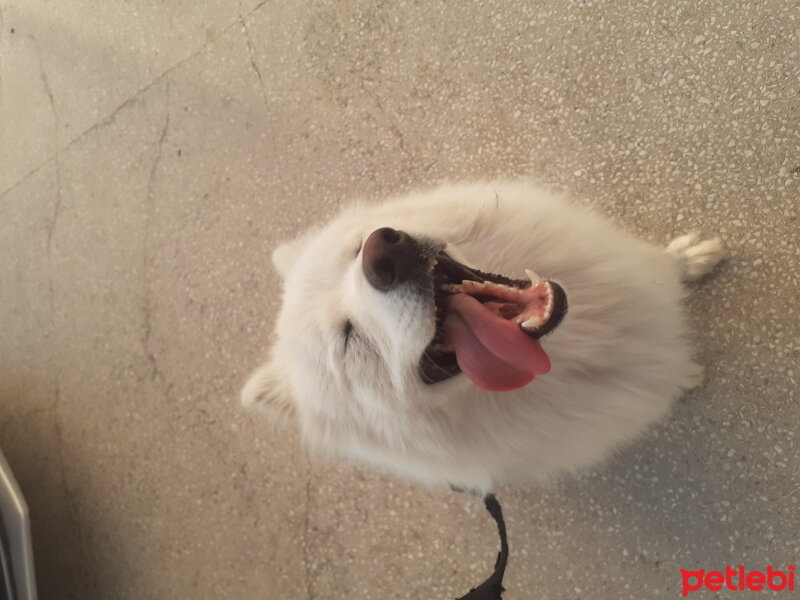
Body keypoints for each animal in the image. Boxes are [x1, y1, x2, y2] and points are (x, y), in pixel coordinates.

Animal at [242, 182, 724, 492]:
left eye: (357, 248)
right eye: (348, 339)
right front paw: (684, 378)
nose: (383, 253)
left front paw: (689, 259)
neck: (584, 336)